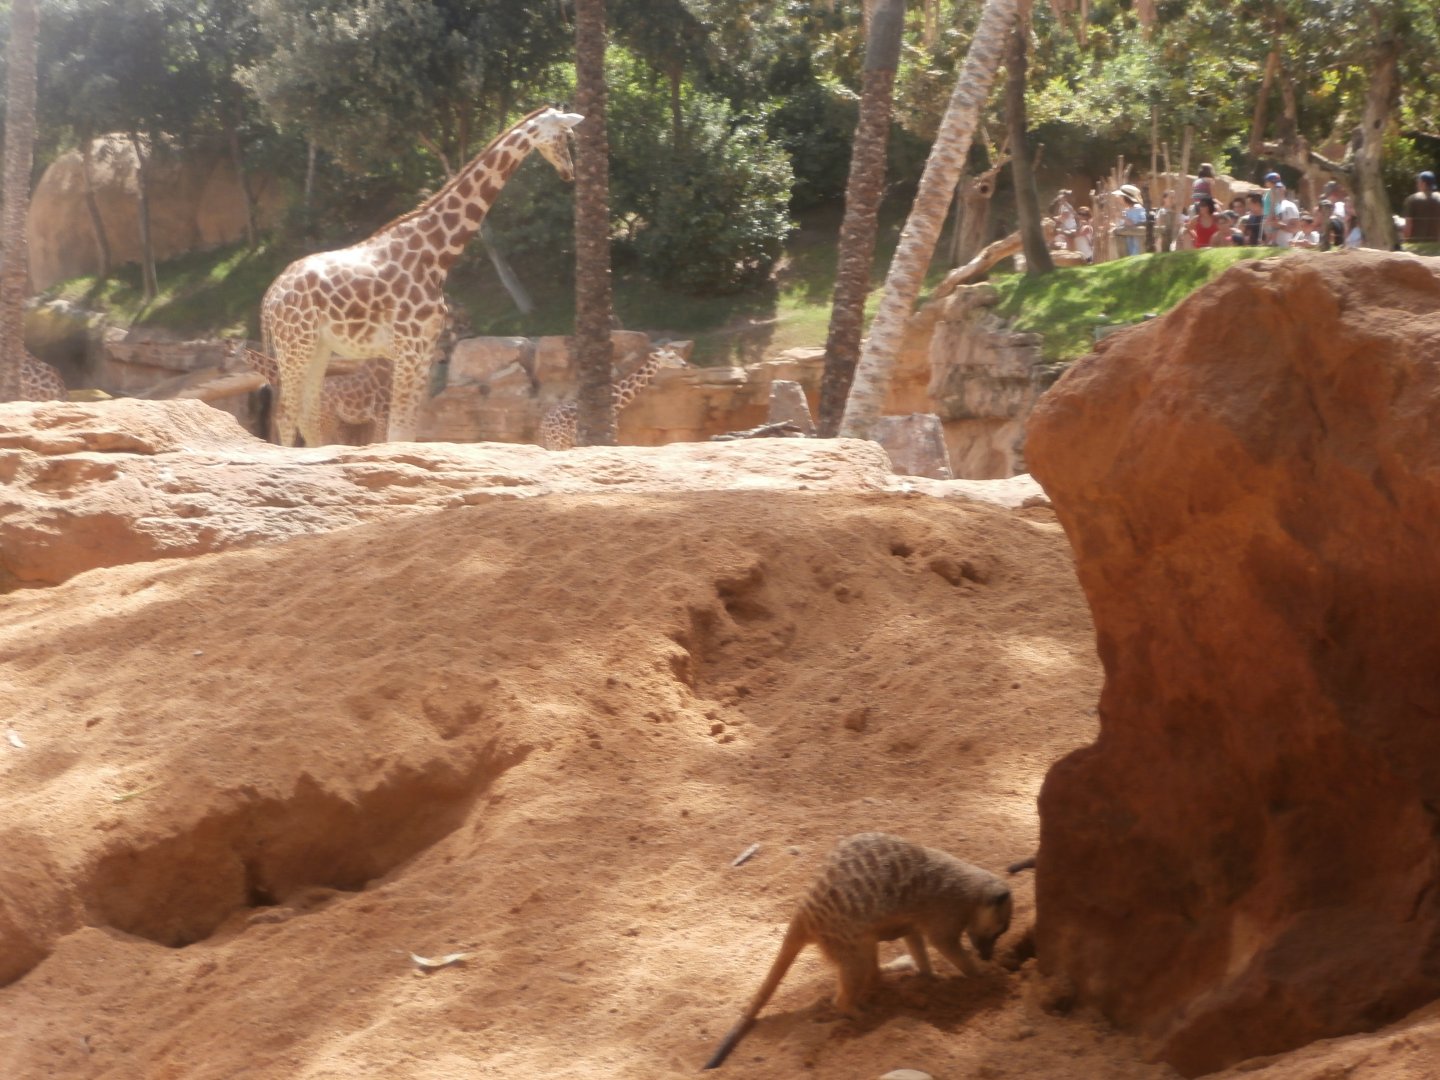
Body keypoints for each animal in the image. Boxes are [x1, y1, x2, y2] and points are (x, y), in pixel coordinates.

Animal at [258, 106, 583, 448]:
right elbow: (398, 429)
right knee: (286, 413)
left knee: (307, 413)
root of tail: (270, 296)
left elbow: (408, 429)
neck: (436, 255)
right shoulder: (409, 346)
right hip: (295, 344)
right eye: (566, 135)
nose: (568, 172)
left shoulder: (425, 347)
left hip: (317, 346)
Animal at [540, 345, 689, 451]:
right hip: (559, 441)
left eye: (676, 354)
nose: (684, 364)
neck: (615, 402)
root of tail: (544, 423)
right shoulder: (611, 432)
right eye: (670, 357)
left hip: (557, 441)